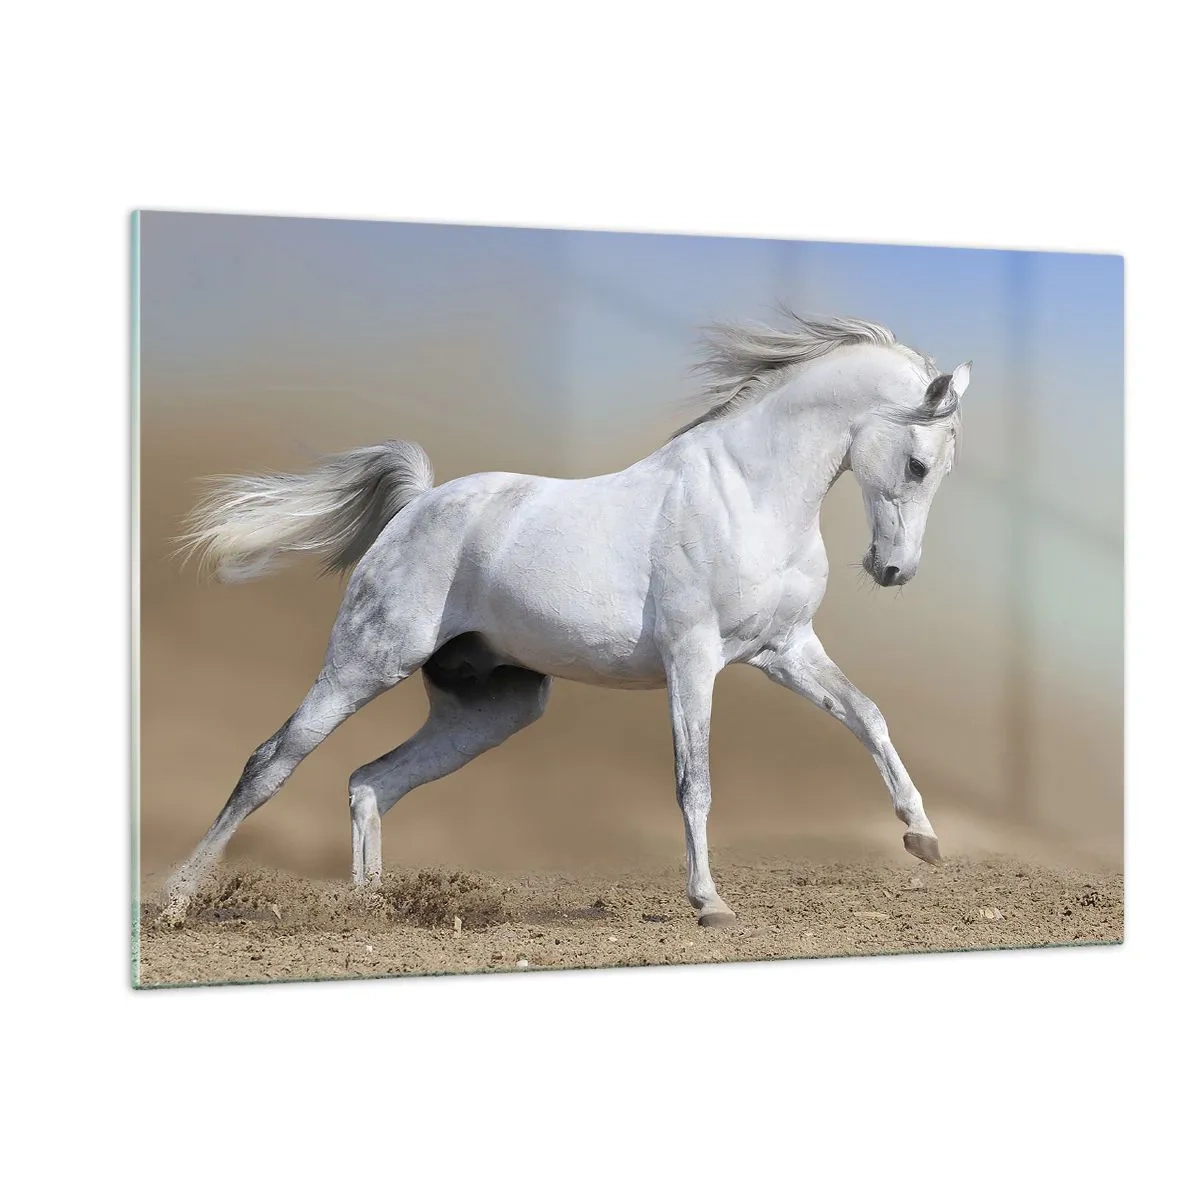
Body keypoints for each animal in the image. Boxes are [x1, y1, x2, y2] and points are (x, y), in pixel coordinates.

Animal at [159, 312, 969, 928]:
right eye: (920, 464)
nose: (894, 570)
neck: (748, 494)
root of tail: (418, 505)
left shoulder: (785, 649)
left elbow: (867, 715)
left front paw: (923, 838)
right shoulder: (693, 658)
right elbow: (695, 780)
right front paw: (709, 904)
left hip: (493, 708)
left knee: (370, 782)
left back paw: (372, 909)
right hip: (367, 661)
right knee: (271, 762)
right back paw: (177, 899)